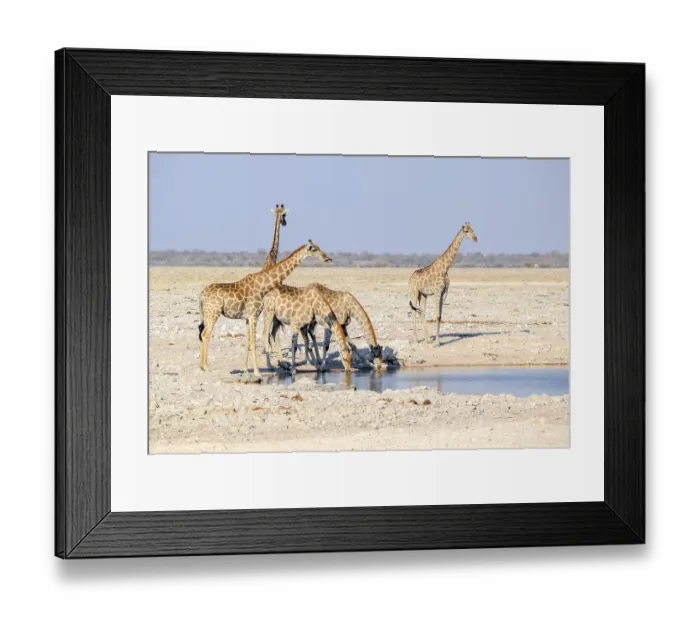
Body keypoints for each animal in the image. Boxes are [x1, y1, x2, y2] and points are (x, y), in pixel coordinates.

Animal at [198, 240, 331, 376]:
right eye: (313, 249)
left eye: (318, 247)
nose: (327, 258)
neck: (262, 286)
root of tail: (201, 295)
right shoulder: (254, 315)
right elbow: (254, 340)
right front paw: (257, 372)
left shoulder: (248, 317)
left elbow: (247, 340)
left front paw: (245, 370)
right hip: (213, 313)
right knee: (205, 334)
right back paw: (205, 367)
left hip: (208, 314)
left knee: (202, 333)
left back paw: (203, 366)